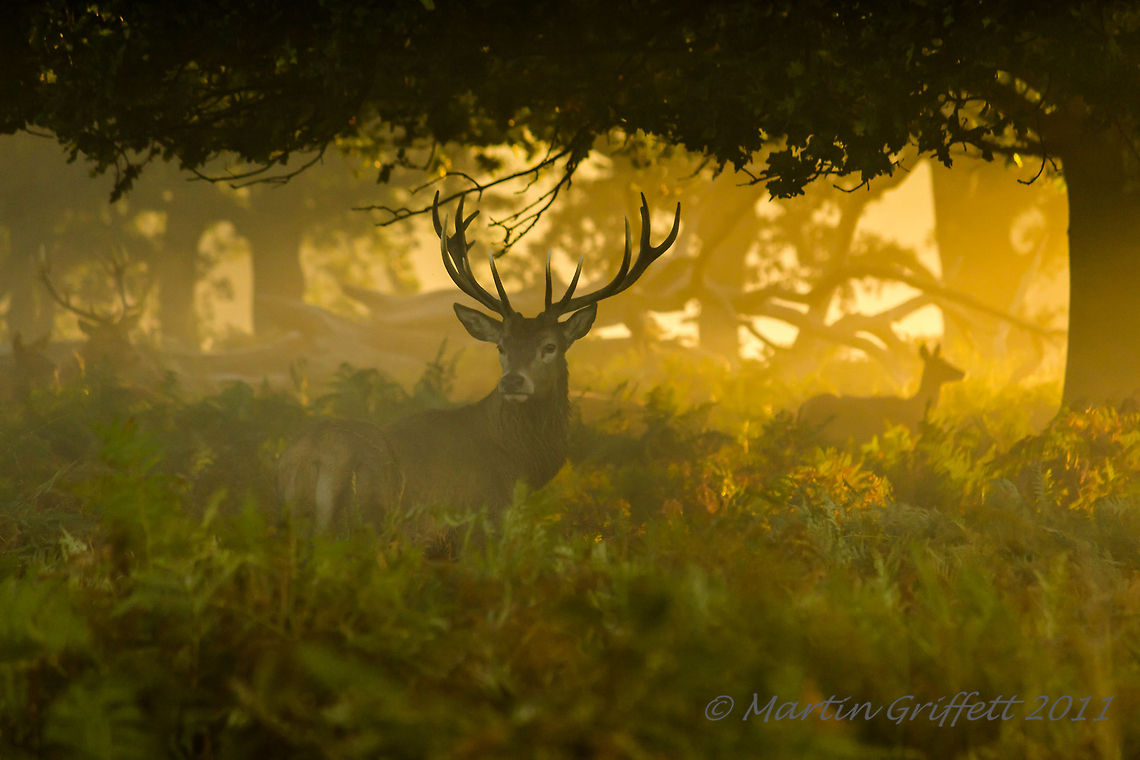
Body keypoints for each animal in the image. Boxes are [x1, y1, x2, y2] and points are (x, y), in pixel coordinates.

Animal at [276, 192, 681, 546]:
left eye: (549, 346)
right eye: (502, 346)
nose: (513, 381)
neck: (522, 465)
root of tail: (315, 457)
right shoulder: (485, 519)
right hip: (373, 516)